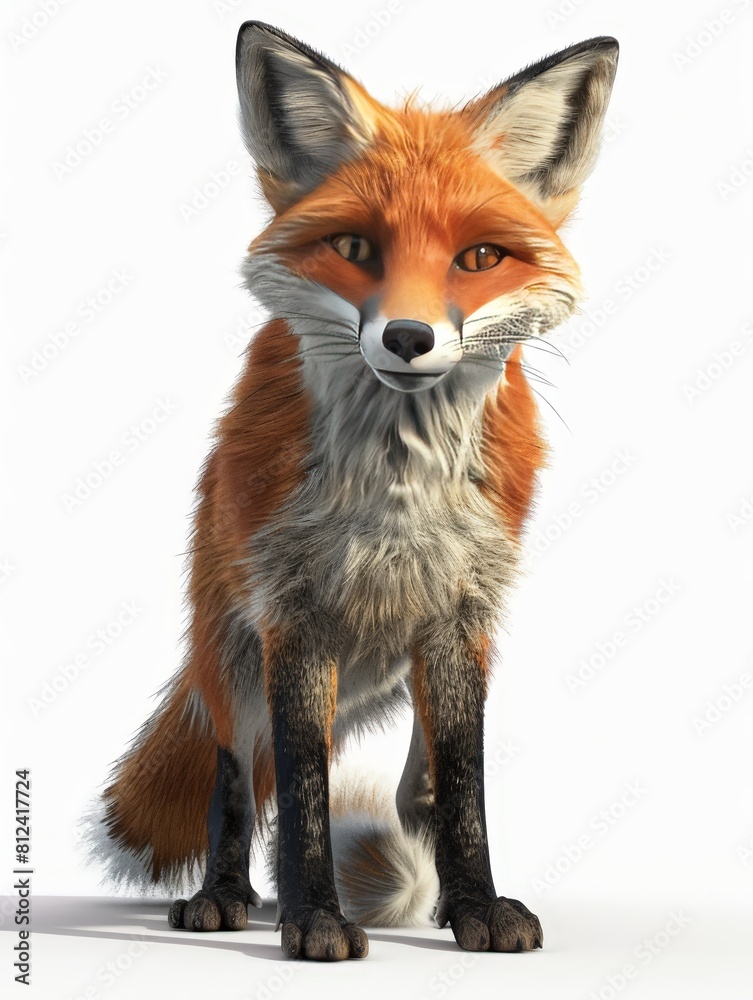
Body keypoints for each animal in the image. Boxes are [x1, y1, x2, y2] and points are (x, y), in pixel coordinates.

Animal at [86, 21, 618, 961]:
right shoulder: (294, 614)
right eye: (356, 249)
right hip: (231, 658)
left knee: (416, 787)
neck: (397, 490)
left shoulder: (460, 614)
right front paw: (314, 919)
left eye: (478, 257)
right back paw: (226, 895)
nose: (407, 337)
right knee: (233, 782)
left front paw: (476, 906)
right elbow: (299, 790)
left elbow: (462, 787)